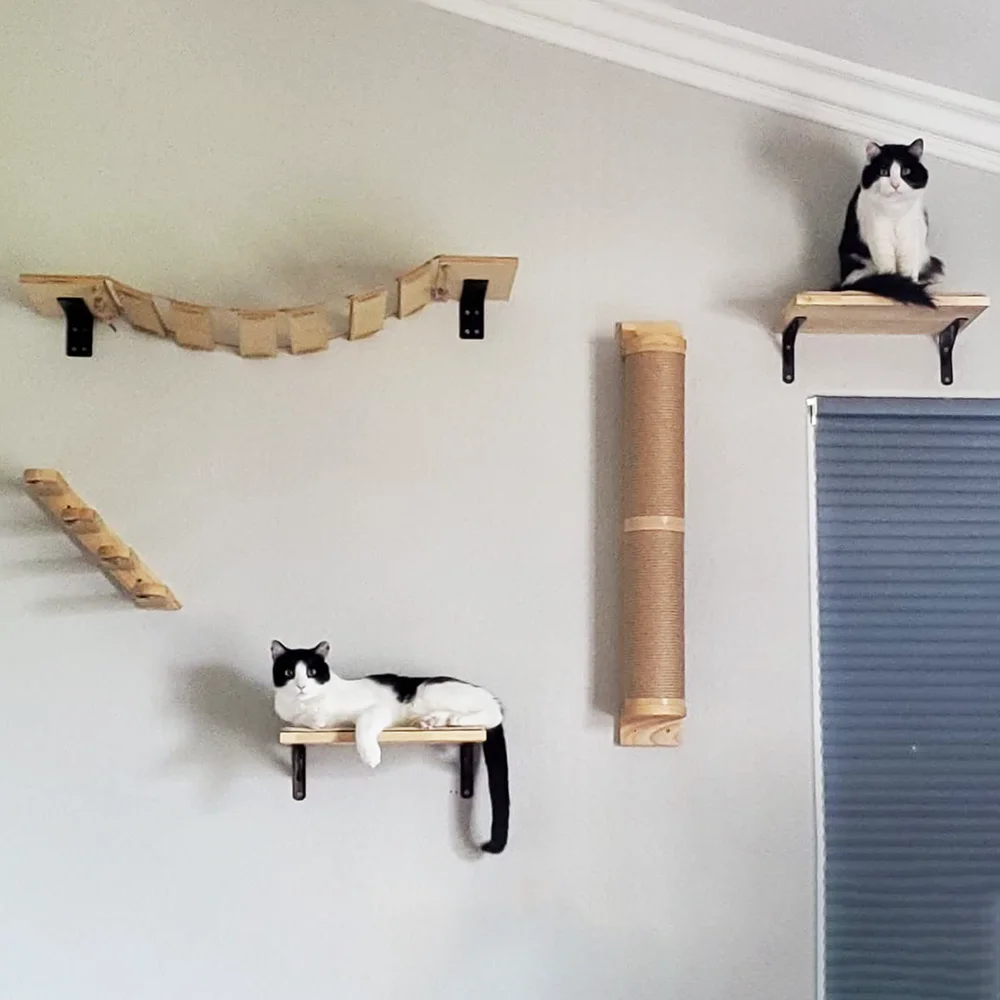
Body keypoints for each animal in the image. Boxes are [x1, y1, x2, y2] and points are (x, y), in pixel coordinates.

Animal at [271, 640, 509, 853]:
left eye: (311, 671)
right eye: (288, 672)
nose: (301, 686)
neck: (308, 704)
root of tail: (487, 693)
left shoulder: (378, 709)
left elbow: (363, 723)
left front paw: (370, 755)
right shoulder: (295, 719)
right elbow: (307, 721)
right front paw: (315, 719)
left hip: (431, 692)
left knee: (492, 714)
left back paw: (456, 719)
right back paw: (434, 720)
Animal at [836, 138, 944, 307]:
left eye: (905, 171)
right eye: (884, 172)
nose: (895, 184)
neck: (895, 211)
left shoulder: (910, 239)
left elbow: (908, 268)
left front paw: (910, 283)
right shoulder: (879, 238)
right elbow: (888, 267)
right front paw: (899, 283)